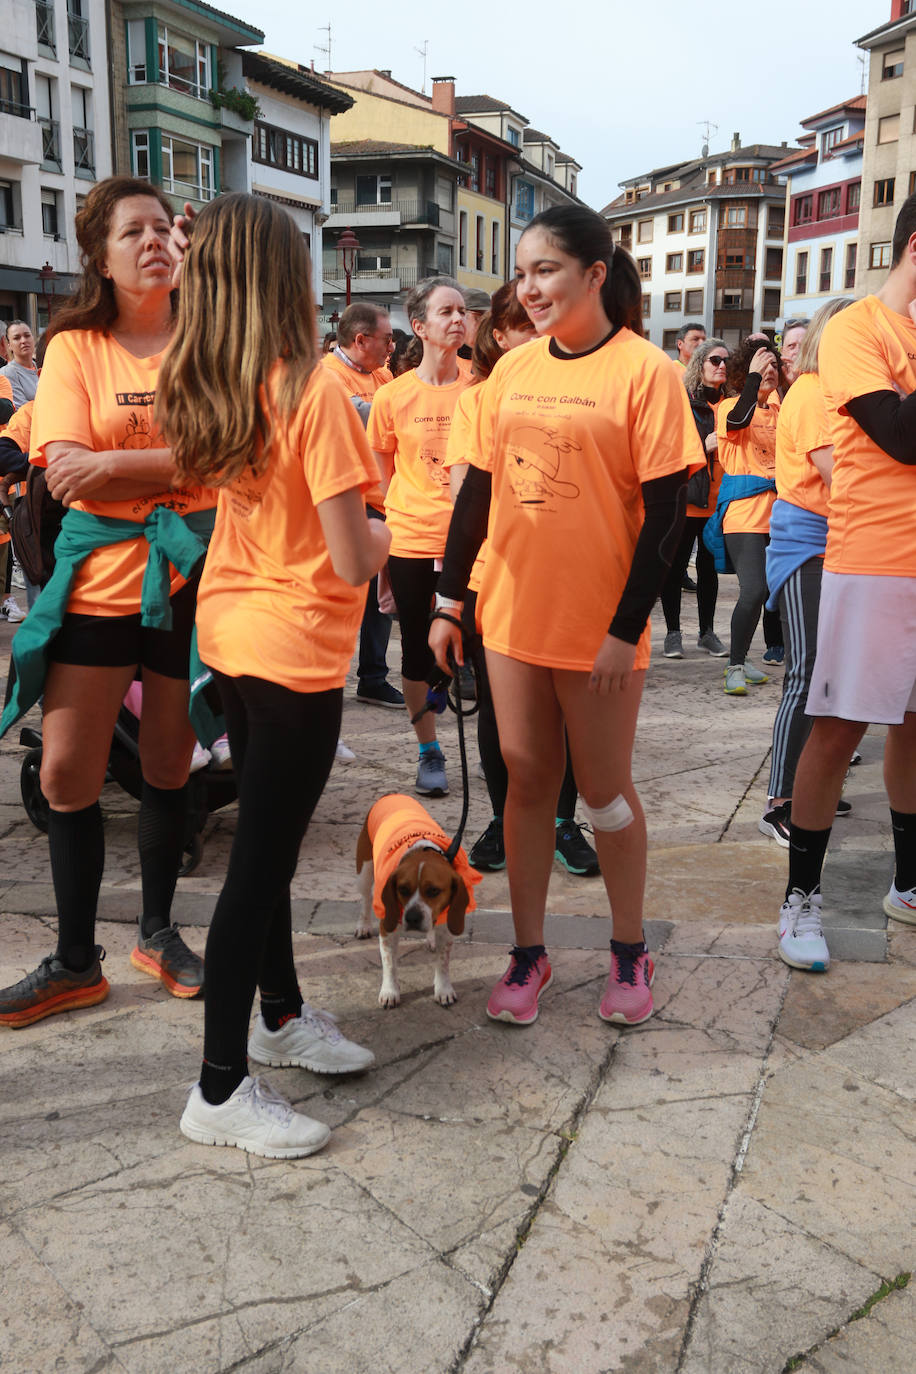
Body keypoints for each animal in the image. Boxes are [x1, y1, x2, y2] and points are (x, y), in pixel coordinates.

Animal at [354, 796, 480, 1011]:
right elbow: (389, 963)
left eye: (434, 891)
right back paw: (363, 926)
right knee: (366, 899)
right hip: (364, 870)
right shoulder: (387, 926)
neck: (421, 850)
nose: (412, 918)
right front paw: (390, 991)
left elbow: (442, 962)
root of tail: (393, 794)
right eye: (403, 889)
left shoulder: (446, 924)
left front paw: (443, 989)